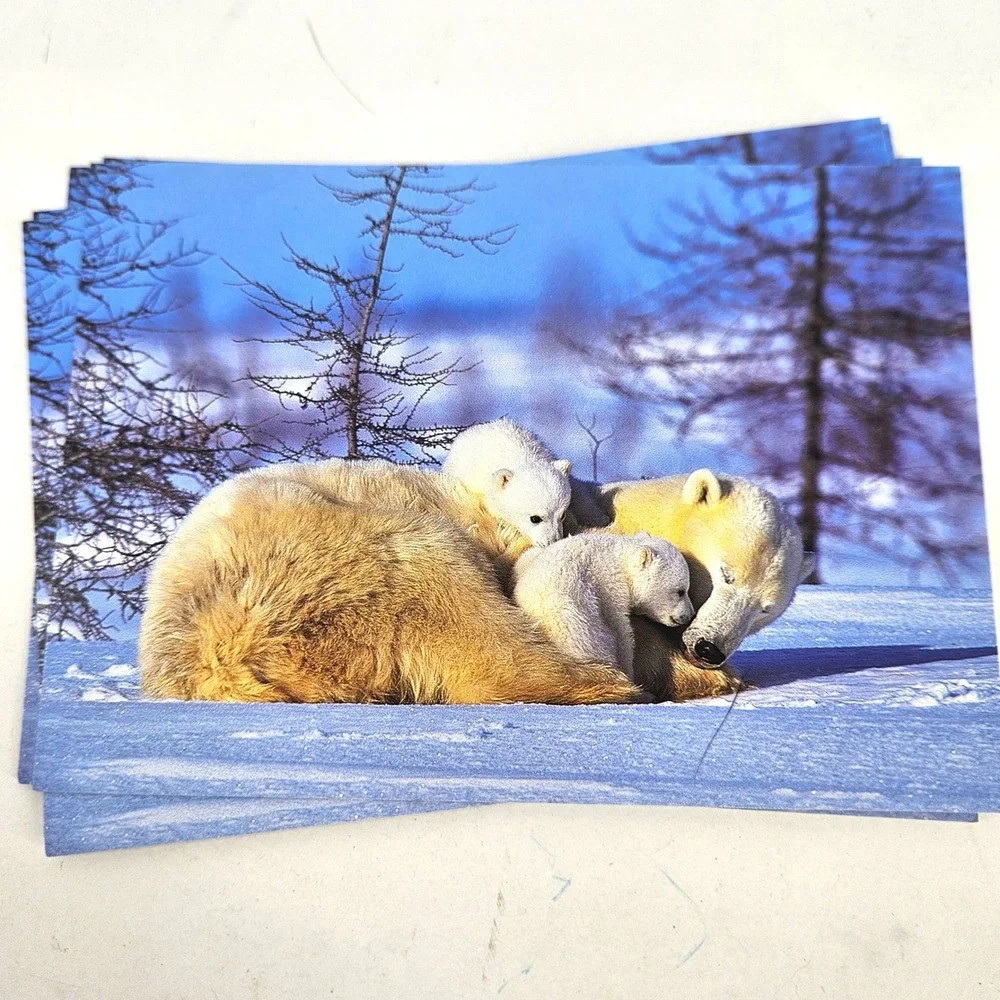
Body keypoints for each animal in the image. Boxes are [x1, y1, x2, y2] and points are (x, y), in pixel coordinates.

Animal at [511, 531, 694, 681]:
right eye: (680, 591)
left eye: (686, 588)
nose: (690, 614)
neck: (619, 559)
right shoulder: (608, 587)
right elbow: (621, 630)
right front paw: (629, 671)